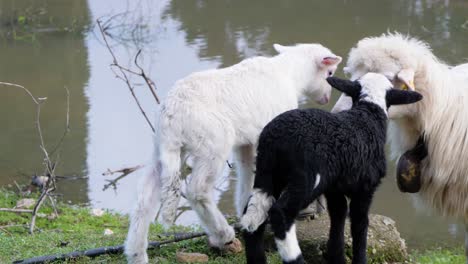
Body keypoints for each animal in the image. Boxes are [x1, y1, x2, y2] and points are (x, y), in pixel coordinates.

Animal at [124, 42, 342, 262]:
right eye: (330, 73)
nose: (326, 98)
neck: (290, 73)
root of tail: (172, 113)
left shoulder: (247, 143)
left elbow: (247, 176)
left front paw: (247, 211)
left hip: (164, 148)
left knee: (144, 197)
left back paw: (136, 254)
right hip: (213, 142)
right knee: (197, 191)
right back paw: (223, 234)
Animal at [239, 72, 422, 264]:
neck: (368, 114)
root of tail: (276, 138)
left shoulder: (335, 188)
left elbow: (338, 216)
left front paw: (336, 257)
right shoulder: (365, 187)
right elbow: (360, 223)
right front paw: (359, 259)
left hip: (267, 173)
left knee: (252, 215)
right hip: (307, 178)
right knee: (280, 212)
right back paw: (295, 258)